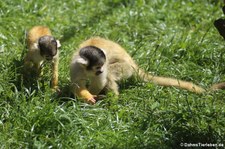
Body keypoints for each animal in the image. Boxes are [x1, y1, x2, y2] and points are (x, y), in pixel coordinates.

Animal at [70, 36, 207, 104]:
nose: (101, 71)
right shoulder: (76, 66)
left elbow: (100, 82)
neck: (87, 70)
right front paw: (88, 97)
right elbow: (78, 84)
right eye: (97, 67)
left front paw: (93, 97)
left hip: (126, 68)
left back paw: (112, 101)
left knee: (109, 74)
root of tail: (132, 63)